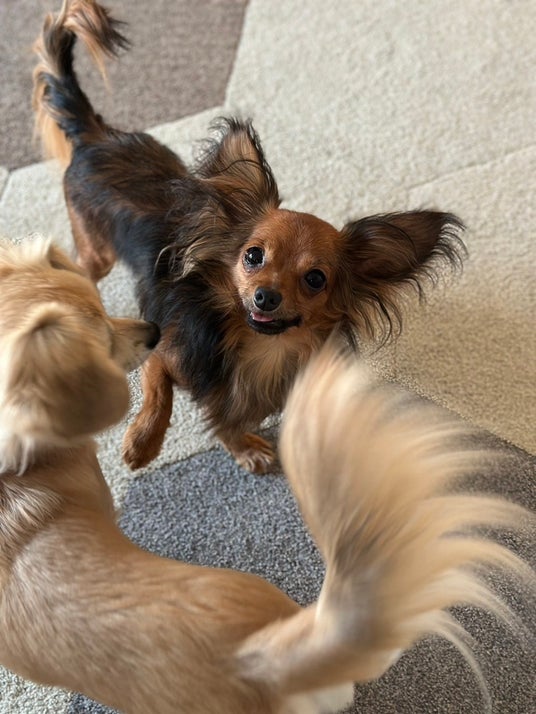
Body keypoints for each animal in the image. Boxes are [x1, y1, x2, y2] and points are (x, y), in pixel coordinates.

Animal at [33, 0, 466, 473]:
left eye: (315, 279)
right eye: (253, 256)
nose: (265, 296)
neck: (255, 348)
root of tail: (95, 135)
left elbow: (228, 419)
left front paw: (242, 446)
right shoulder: (165, 350)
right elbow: (157, 388)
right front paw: (143, 441)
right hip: (98, 251)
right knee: (79, 269)